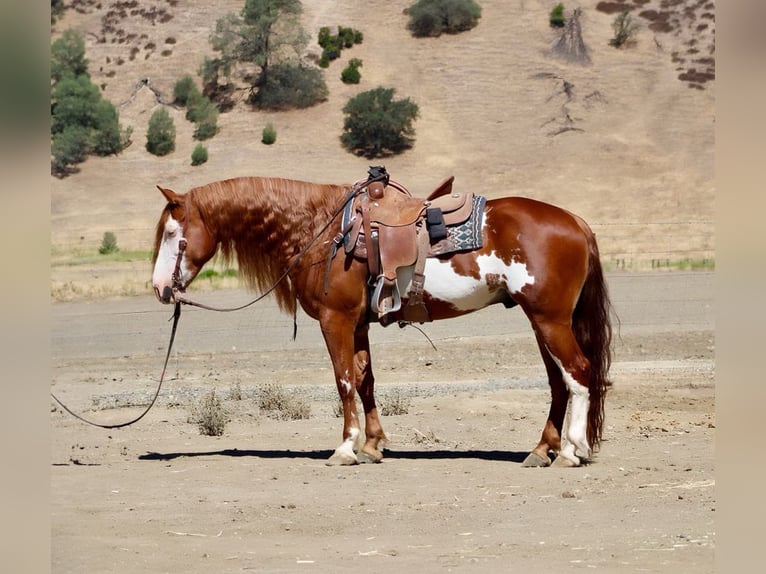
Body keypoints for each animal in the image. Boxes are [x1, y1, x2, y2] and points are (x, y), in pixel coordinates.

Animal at [151, 173, 612, 467]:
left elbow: (342, 381)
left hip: (551, 320)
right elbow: (365, 379)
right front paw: (372, 445)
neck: (323, 232)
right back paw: (541, 449)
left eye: (173, 234)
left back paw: (571, 451)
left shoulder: (335, 320)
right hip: (542, 321)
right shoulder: (357, 323)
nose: (160, 287)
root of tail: (577, 223)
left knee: (578, 373)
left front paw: (345, 448)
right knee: (558, 382)